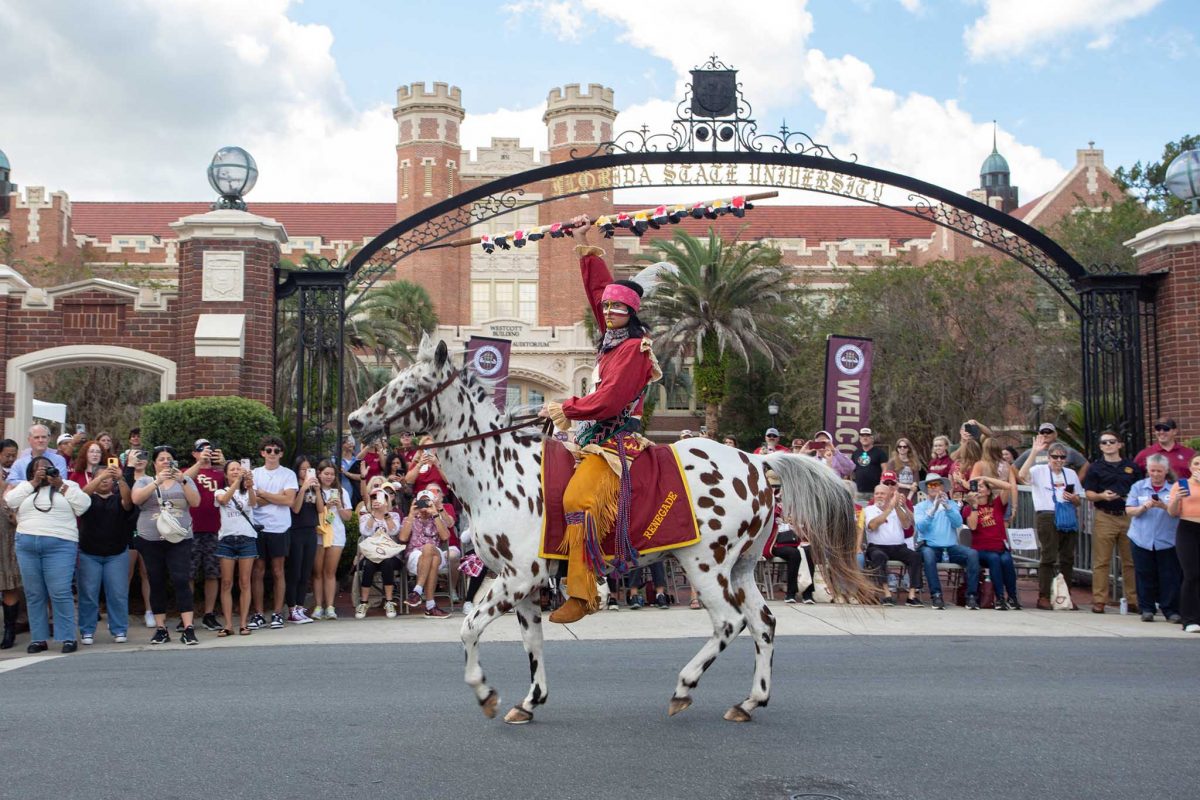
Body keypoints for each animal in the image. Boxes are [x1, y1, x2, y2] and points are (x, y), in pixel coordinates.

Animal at [348, 335, 873, 724]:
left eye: (408, 389)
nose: (354, 421)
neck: (496, 470)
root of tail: (758, 463)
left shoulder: (518, 579)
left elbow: (469, 628)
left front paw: (485, 692)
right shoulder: (521, 585)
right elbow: (532, 642)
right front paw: (529, 701)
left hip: (705, 565)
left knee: (730, 623)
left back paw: (684, 687)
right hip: (742, 568)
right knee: (763, 623)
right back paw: (749, 701)